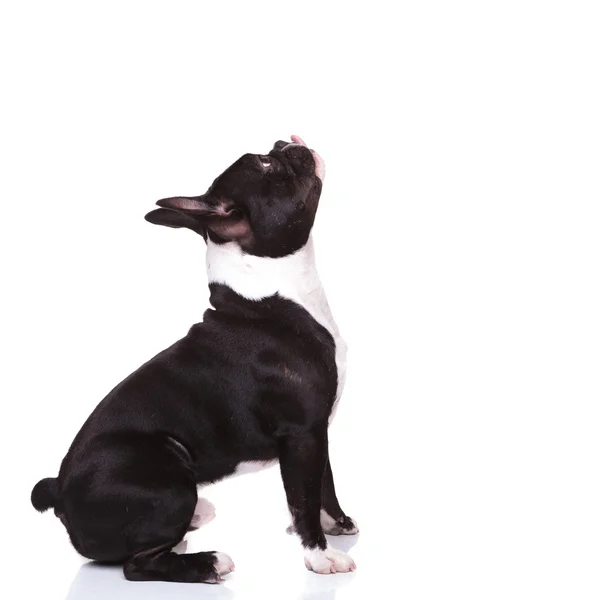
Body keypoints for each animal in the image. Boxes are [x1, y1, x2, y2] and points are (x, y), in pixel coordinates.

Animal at [31, 135, 356, 580]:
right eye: (267, 165)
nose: (284, 142)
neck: (272, 294)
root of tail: (59, 492)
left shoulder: (317, 433)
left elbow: (323, 483)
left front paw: (337, 523)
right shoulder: (303, 433)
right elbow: (303, 497)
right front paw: (319, 555)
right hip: (167, 473)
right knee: (137, 565)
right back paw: (207, 561)